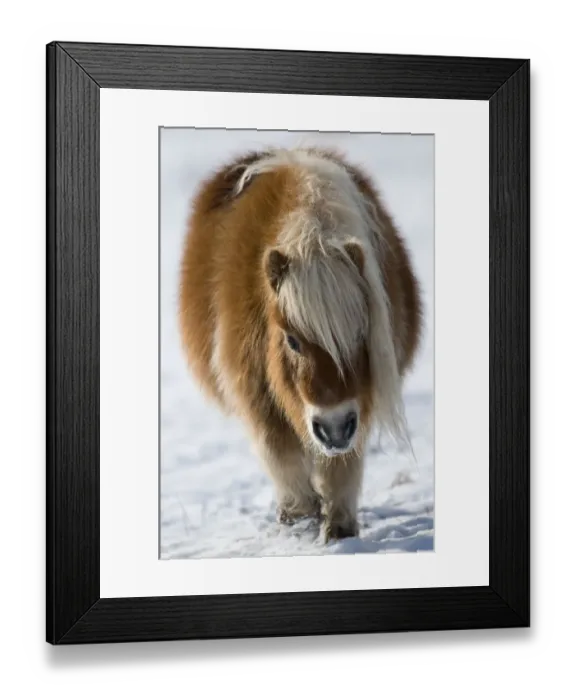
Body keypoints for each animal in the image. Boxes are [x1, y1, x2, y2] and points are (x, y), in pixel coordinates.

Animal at [178, 146, 423, 543]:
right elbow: (282, 456)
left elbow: (342, 466)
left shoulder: (359, 403)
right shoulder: (255, 394)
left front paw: (339, 530)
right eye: (292, 340)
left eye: (362, 333)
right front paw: (300, 518)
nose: (334, 426)